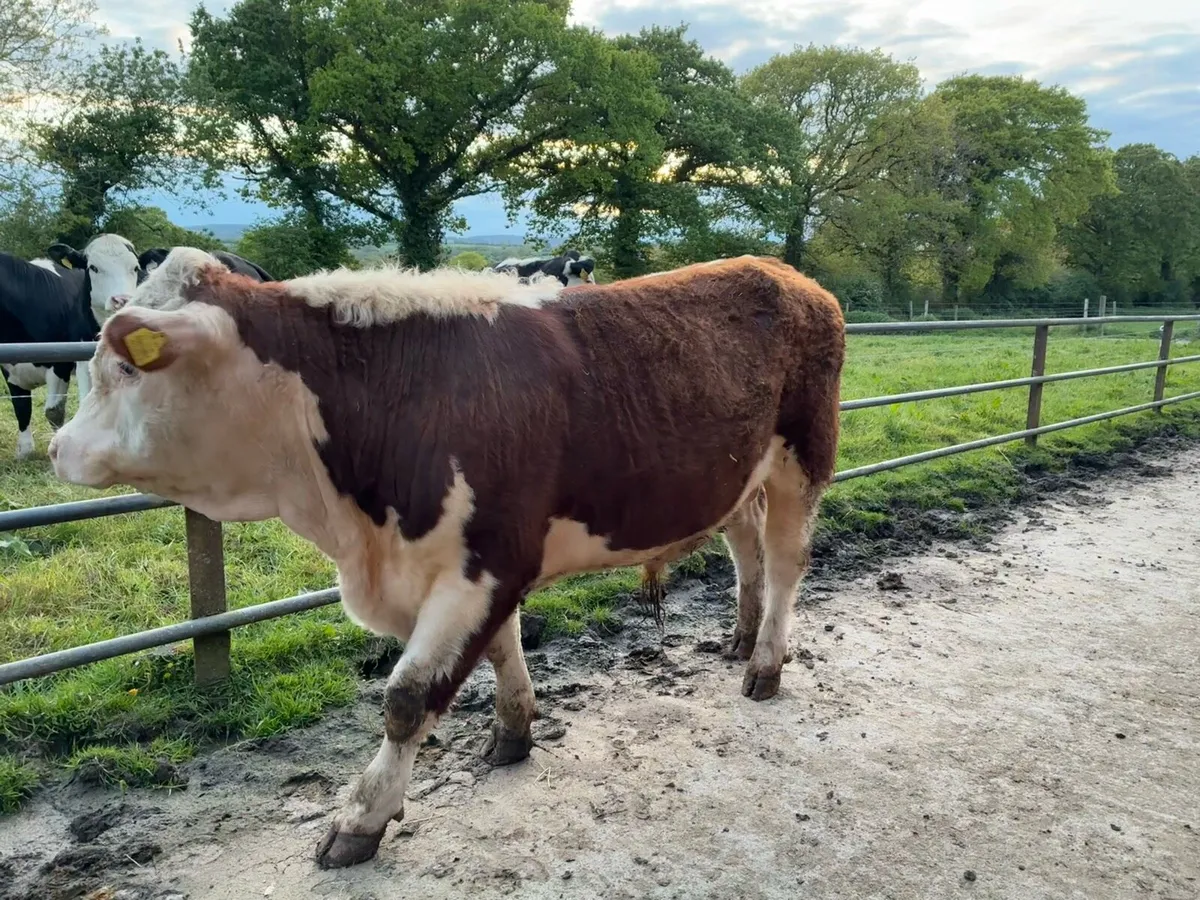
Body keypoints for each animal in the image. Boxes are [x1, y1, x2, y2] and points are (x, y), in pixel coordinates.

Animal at [2, 235, 141, 459]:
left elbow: (54, 411)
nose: (122, 300)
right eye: (93, 268)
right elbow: (21, 405)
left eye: (135, 267)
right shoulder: (9, 365)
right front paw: (24, 450)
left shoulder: (61, 361)